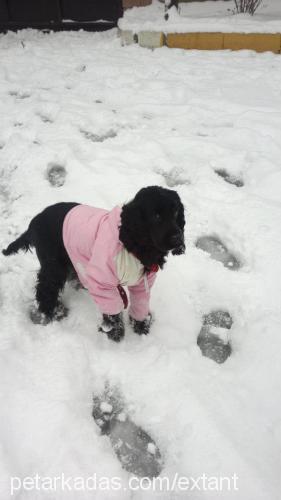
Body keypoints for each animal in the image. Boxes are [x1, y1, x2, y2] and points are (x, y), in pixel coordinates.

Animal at [3, 186, 186, 342]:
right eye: (156, 216)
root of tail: (34, 222)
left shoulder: (142, 284)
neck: (134, 243)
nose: (178, 238)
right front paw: (114, 333)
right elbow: (112, 311)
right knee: (45, 289)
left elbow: (140, 305)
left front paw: (141, 327)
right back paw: (54, 312)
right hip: (54, 265)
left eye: (176, 211)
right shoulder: (103, 280)